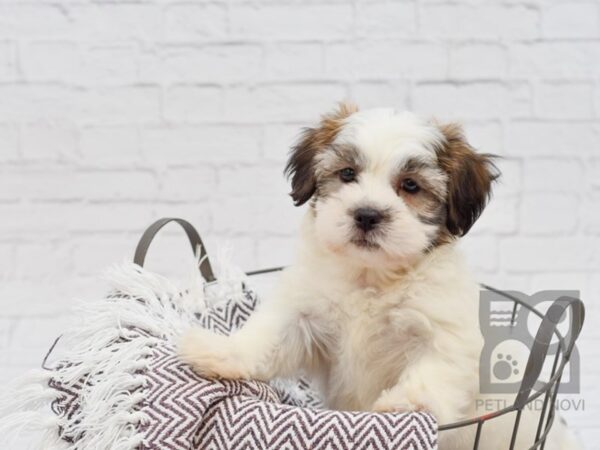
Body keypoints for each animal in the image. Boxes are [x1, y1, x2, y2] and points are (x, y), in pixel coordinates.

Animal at [182, 104, 576, 450]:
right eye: (346, 174)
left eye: (411, 186)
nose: (367, 214)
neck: (371, 276)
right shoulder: (305, 310)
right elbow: (269, 337)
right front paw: (223, 353)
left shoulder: (445, 334)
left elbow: (433, 371)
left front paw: (405, 407)